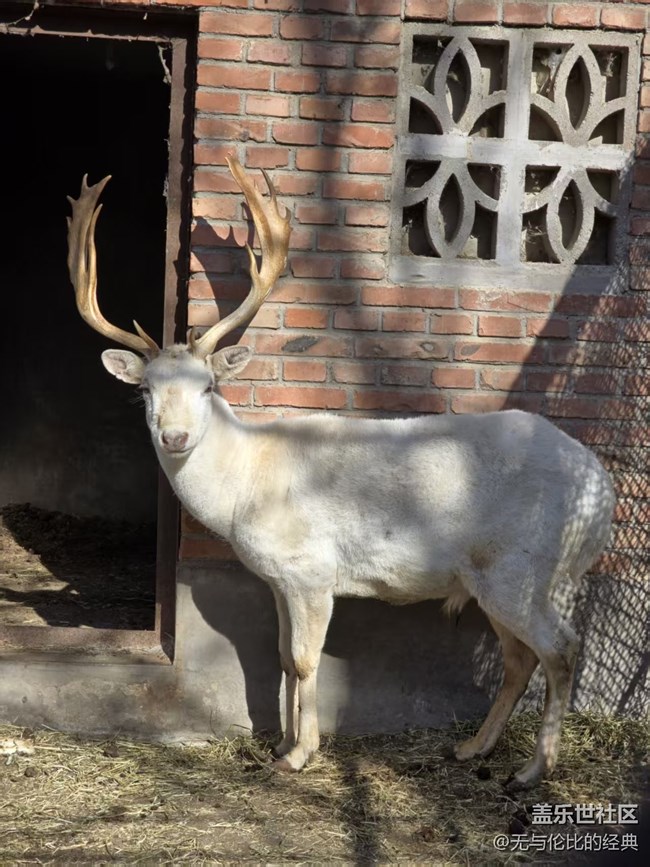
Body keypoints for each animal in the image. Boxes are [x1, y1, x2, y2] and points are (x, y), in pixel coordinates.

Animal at [66, 156, 615, 790]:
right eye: (146, 392)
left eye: (207, 386)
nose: (175, 438)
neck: (247, 486)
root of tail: (603, 494)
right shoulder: (278, 578)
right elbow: (283, 658)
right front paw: (282, 742)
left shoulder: (312, 569)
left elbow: (306, 661)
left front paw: (300, 754)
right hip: (492, 578)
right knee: (521, 656)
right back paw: (471, 748)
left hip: (522, 566)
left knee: (560, 649)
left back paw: (532, 769)